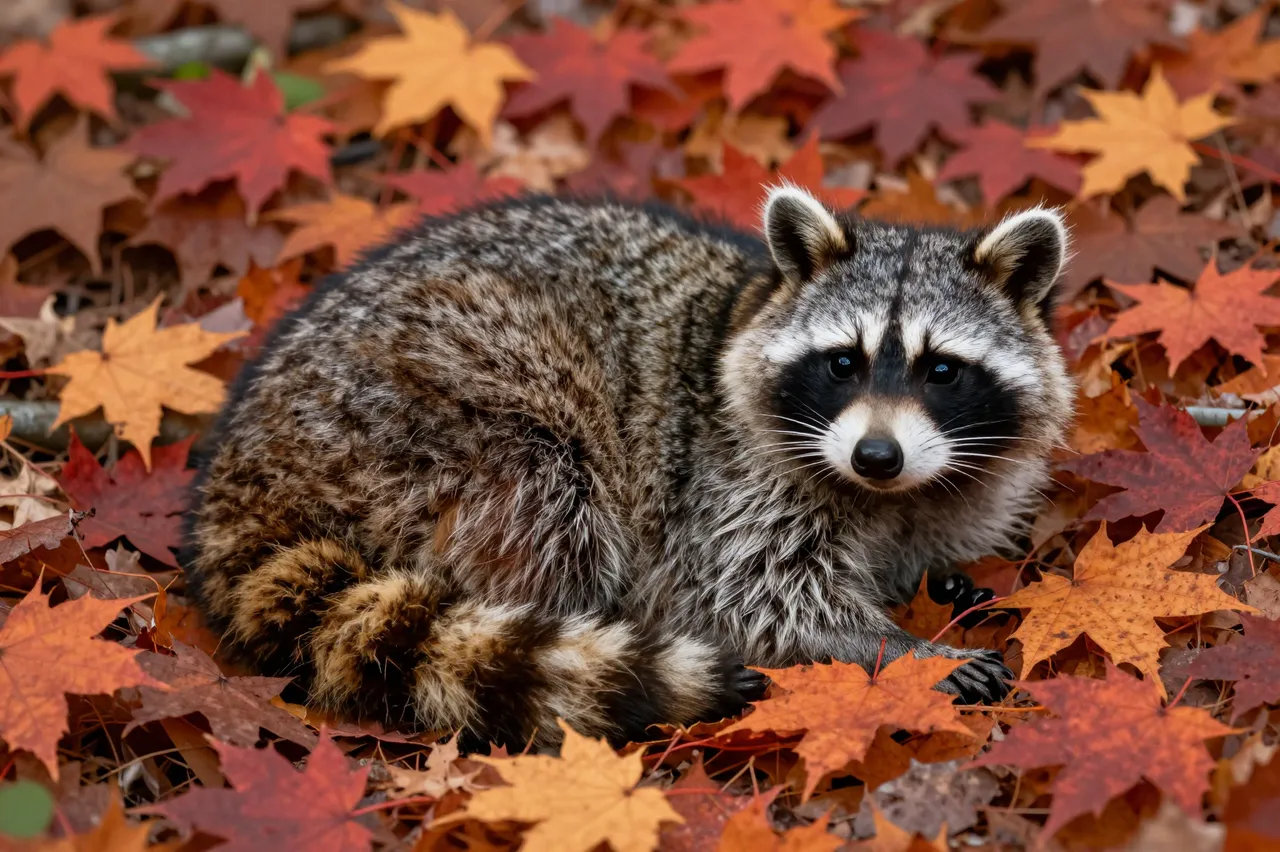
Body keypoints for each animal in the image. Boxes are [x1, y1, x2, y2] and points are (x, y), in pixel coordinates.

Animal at [185, 187, 1073, 749]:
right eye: (843, 363)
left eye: (942, 370)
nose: (876, 455)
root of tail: (245, 460)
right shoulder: (723, 477)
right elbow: (752, 597)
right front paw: (892, 645)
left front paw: (939, 583)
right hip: (429, 421)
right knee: (547, 504)